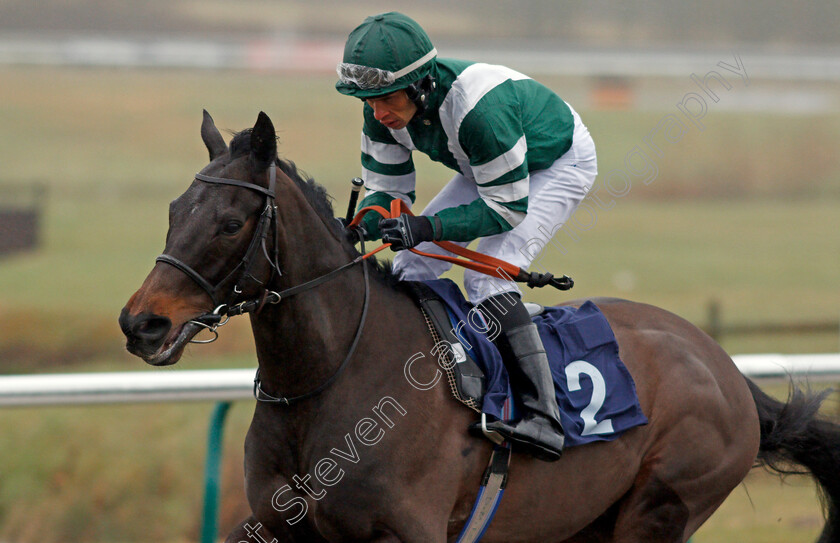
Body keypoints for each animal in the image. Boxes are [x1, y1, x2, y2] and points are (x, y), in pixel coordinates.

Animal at [118, 111, 840, 543]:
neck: (329, 379)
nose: (141, 322)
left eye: (230, 222)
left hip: (662, 508)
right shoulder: (276, 526)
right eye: (175, 208)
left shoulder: (409, 533)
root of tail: (728, 371)